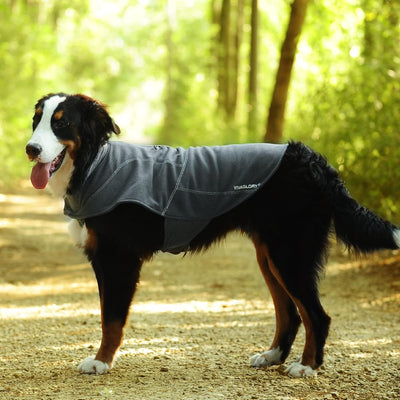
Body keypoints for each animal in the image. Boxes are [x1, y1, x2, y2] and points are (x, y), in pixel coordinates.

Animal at [26, 94, 398, 378]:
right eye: (36, 120)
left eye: (61, 123)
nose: (30, 148)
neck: (94, 167)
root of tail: (310, 157)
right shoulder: (103, 261)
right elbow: (108, 316)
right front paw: (102, 359)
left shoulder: (120, 260)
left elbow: (112, 320)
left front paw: (101, 362)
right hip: (270, 256)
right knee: (290, 313)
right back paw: (272, 356)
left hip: (290, 254)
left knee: (317, 315)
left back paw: (306, 367)